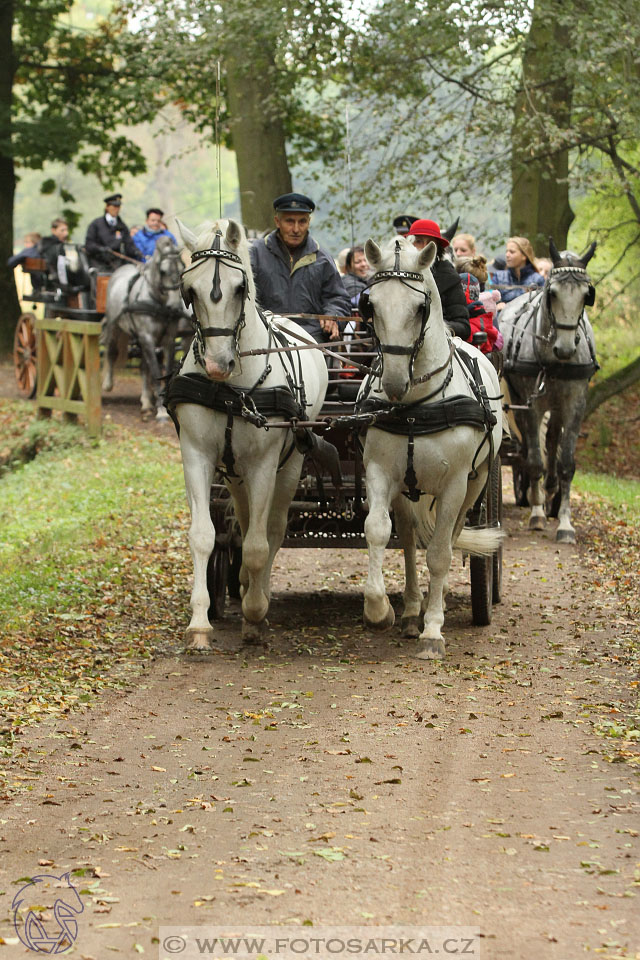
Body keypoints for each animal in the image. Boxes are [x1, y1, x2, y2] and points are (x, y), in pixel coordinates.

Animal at [101, 234, 184, 418]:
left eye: (183, 269)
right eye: (163, 271)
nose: (175, 307)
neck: (157, 301)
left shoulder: (168, 340)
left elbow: (164, 370)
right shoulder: (147, 337)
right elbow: (155, 371)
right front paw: (161, 411)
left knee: (143, 365)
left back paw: (146, 402)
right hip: (115, 325)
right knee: (111, 351)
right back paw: (107, 384)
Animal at [168, 221, 328, 648]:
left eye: (240, 288)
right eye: (189, 289)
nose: (216, 363)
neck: (232, 388)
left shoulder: (263, 464)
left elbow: (259, 544)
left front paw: (256, 615)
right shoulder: (197, 456)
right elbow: (203, 536)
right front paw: (199, 624)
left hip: (289, 466)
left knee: (271, 529)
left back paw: (259, 592)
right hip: (234, 473)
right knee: (240, 520)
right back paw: (241, 583)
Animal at [358, 235, 502, 656]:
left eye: (420, 307)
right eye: (370, 304)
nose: (393, 383)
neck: (416, 405)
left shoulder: (454, 484)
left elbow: (439, 553)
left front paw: (434, 630)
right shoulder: (379, 472)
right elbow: (377, 530)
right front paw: (380, 610)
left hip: (475, 483)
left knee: (451, 535)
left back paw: (433, 608)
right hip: (408, 489)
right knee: (406, 538)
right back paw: (410, 611)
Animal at [500, 237, 600, 544]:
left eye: (587, 294)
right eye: (552, 293)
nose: (565, 349)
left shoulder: (575, 403)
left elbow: (566, 462)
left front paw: (565, 524)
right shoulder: (532, 406)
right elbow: (534, 460)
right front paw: (536, 514)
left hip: (557, 405)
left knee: (553, 438)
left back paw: (551, 489)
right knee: (532, 448)